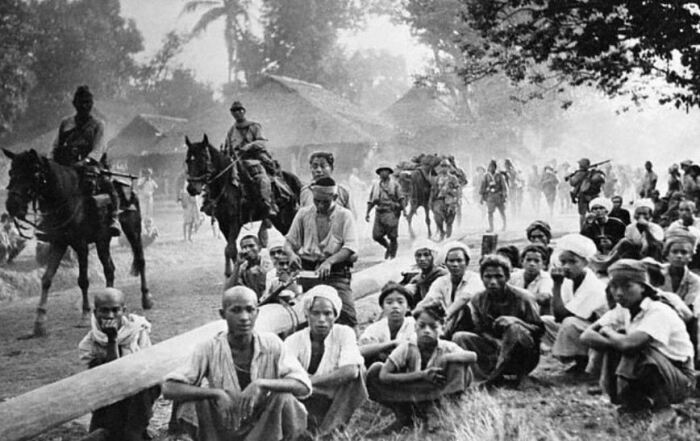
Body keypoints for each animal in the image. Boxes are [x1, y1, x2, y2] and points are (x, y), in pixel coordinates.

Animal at [2, 148, 151, 336]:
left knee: (140, 259)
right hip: (103, 240)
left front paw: (85, 315)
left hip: (133, 229)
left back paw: (146, 298)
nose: (12, 205)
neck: (66, 198)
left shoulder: (81, 245)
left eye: (33, 173)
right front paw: (39, 322)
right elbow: (46, 279)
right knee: (109, 269)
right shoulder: (58, 243)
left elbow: (83, 280)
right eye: (11, 172)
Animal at [183, 134, 300, 276]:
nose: (191, 188)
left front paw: (231, 272)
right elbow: (232, 250)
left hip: (287, 216)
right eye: (188, 160)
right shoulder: (223, 223)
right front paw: (235, 272)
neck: (227, 186)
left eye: (204, 158)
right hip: (278, 220)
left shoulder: (235, 222)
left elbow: (230, 249)